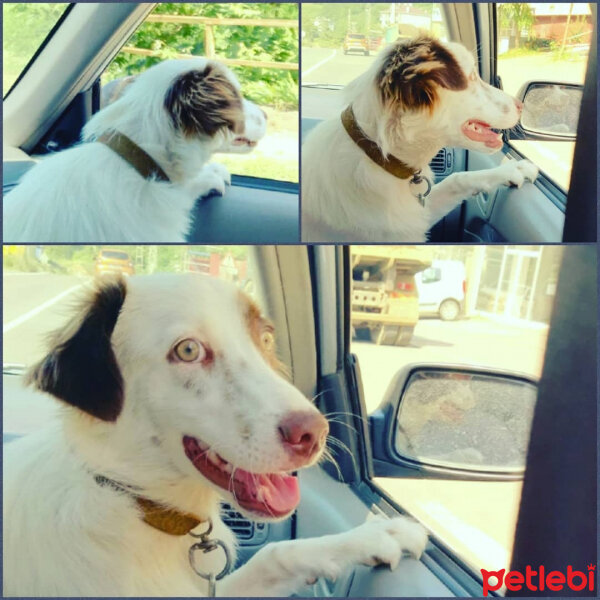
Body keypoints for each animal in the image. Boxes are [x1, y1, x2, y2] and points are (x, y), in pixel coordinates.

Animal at [3, 274, 426, 596]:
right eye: (188, 350)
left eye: (266, 339)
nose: (315, 433)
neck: (134, 504)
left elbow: (276, 554)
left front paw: (377, 534)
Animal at [302, 34, 540, 241]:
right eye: (472, 77)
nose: (522, 105)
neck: (377, 156)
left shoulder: (417, 214)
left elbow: (458, 178)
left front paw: (515, 169)